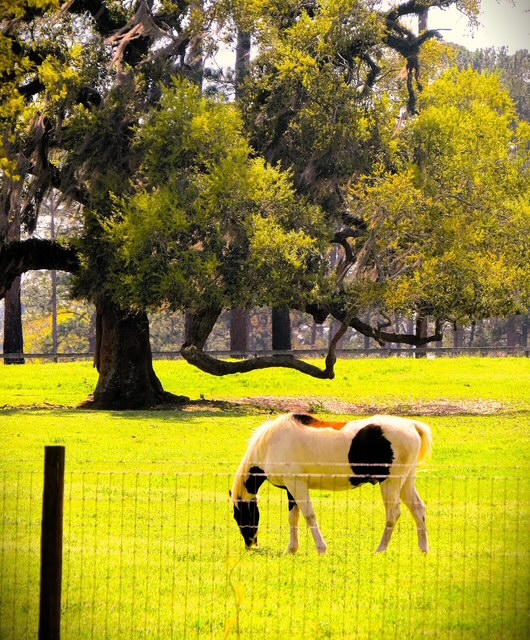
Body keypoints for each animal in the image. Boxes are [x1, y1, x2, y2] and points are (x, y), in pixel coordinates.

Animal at [230, 412, 432, 555]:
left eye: (239, 515)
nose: (250, 544)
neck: (271, 444)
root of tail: (412, 425)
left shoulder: (297, 485)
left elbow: (309, 516)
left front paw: (321, 549)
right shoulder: (291, 489)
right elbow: (293, 517)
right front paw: (291, 549)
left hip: (390, 483)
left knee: (393, 514)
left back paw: (380, 549)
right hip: (406, 482)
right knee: (418, 509)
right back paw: (424, 549)